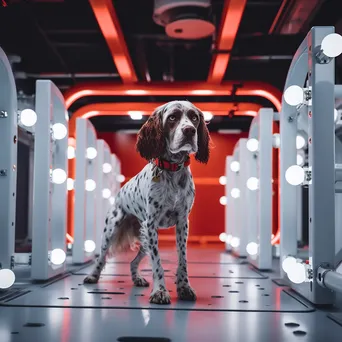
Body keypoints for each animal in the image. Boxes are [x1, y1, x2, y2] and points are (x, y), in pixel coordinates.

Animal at [84, 99, 210, 304]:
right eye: (172, 117)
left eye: (194, 117)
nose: (190, 131)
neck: (172, 169)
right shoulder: (151, 224)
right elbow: (157, 263)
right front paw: (160, 292)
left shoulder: (182, 223)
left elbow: (182, 259)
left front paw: (184, 288)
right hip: (112, 230)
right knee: (101, 257)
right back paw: (92, 276)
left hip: (144, 239)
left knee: (133, 262)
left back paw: (137, 278)